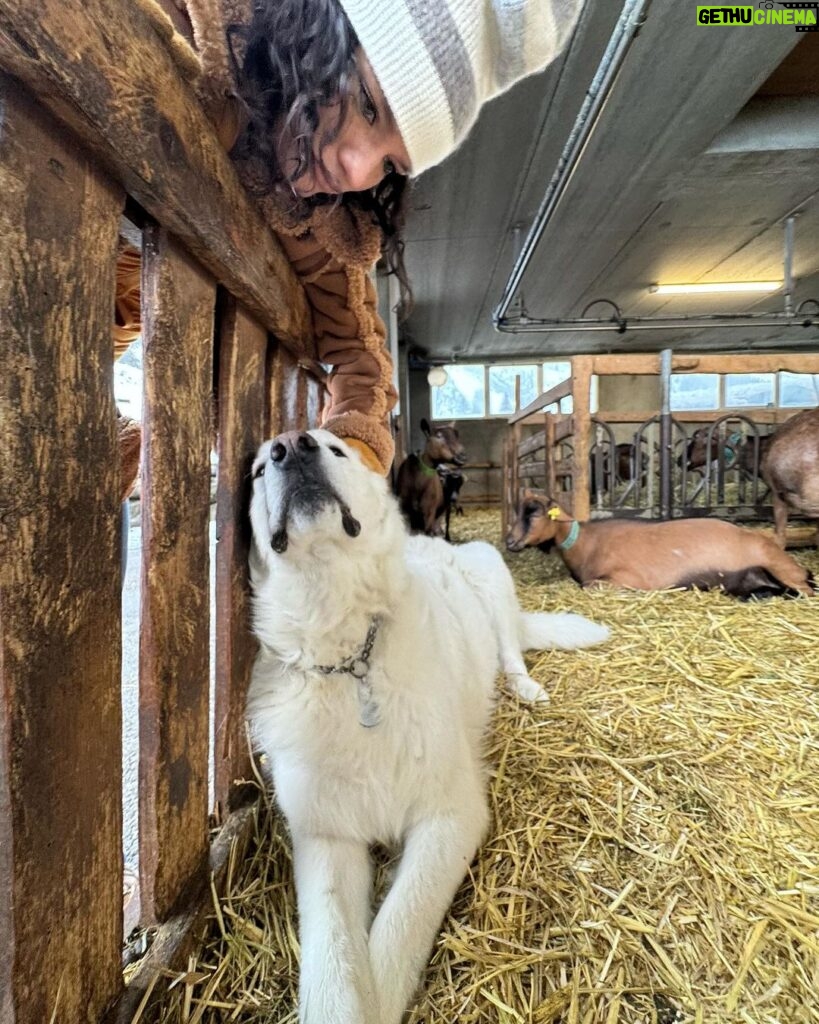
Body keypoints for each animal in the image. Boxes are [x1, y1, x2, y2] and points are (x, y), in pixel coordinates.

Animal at [246, 430, 606, 1024]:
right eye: (257, 471)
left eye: (335, 448)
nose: (289, 448)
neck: (350, 658)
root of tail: (435, 543)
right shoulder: (325, 835)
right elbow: (332, 961)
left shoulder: (451, 816)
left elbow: (398, 928)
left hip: (489, 569)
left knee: (511, 650)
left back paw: (524, 687)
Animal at [505, 489, 810, 598]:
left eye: (533, 512)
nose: (509, 541)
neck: (588, 543)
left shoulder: (629, 579)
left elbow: (589, 585)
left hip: (784, 570)